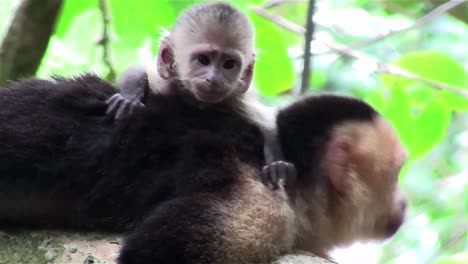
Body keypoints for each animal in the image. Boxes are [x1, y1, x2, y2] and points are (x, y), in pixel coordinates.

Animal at [108, 2, 294, 188]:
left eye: (229, 64)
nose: (214, 79)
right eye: (203, 60)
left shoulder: (236, 99)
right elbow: (140, 70)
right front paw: (129, 96)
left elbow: (267, 123)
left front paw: (277, 164)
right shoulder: (166, 83)